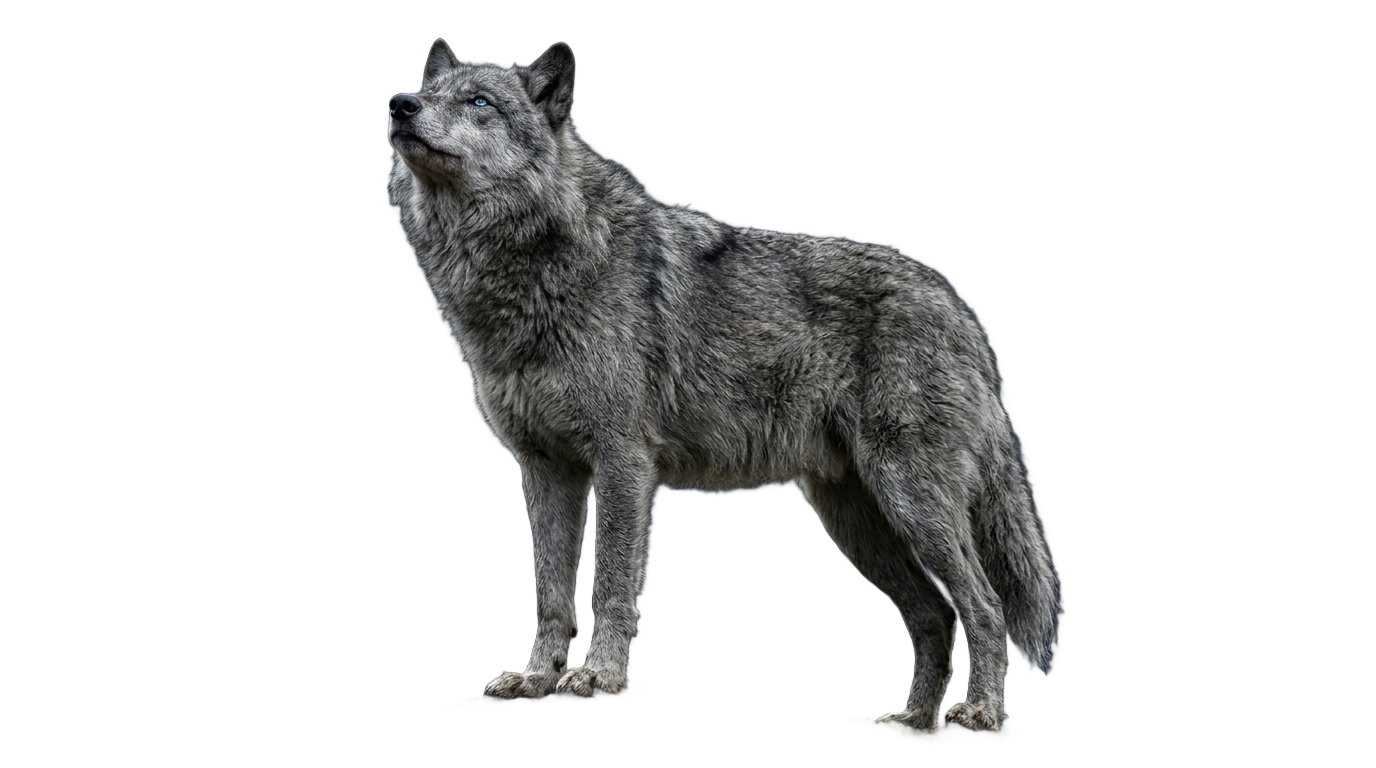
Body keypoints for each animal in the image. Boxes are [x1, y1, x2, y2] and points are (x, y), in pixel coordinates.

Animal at [383, 39, 1056, 732]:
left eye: (479, 102)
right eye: (430, 94)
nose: (399, 106)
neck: (529, 270)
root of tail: (959, 311)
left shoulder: (623, 459)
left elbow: (610, 582)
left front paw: (597, 675)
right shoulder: (547, 470)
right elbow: (548, 594)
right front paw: (533, 678)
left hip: (911, 501)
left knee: (983, 604)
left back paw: (977, 712)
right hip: (856, 516)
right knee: (934, 613)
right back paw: (913, 718)